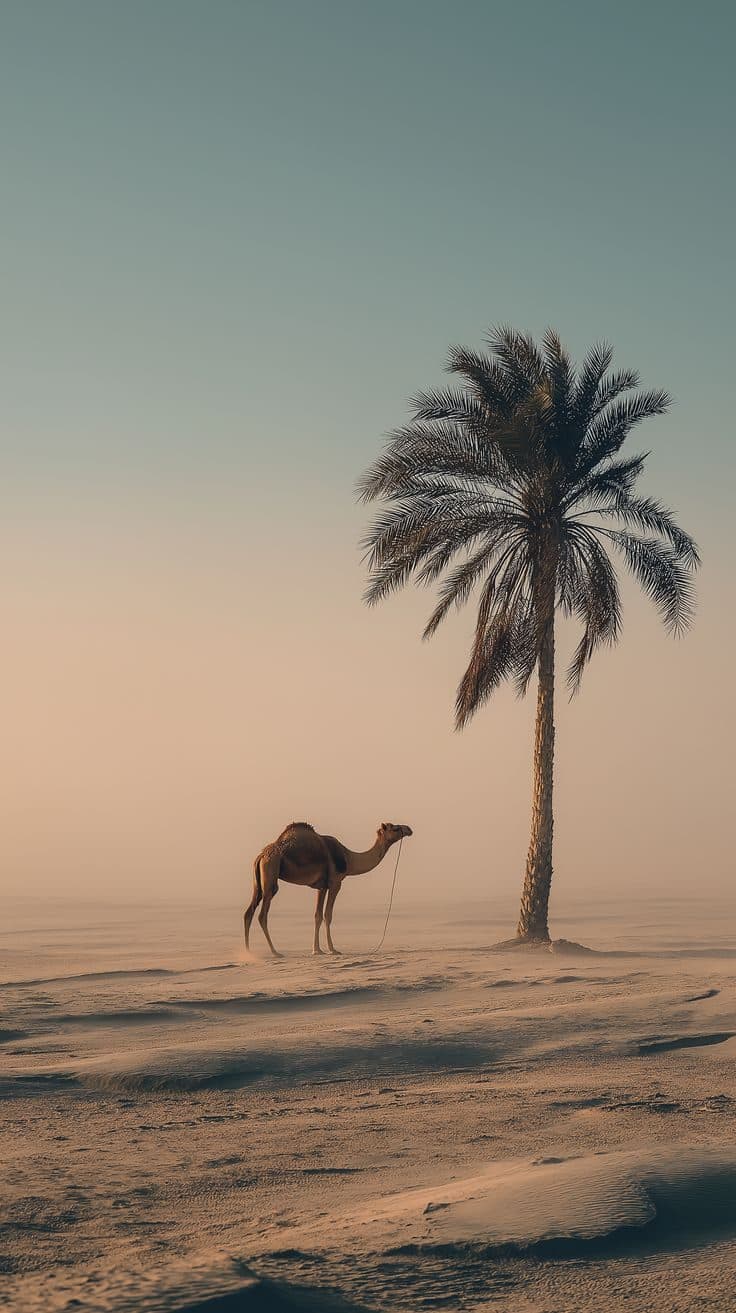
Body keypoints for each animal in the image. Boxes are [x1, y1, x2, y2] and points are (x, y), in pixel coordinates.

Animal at [245, 821, 413, 957]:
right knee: (262, 914)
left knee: (249, 911)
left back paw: (248, 952)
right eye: (395, 828)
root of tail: (261, 856)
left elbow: (317, 916)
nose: (409, 829)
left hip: (258, 881)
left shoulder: (321, 886)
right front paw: (333, 949)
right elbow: (328, 915)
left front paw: (317, 950)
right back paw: (275, 952)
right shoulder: (335, 882)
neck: (349, 858)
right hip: (271, 872)